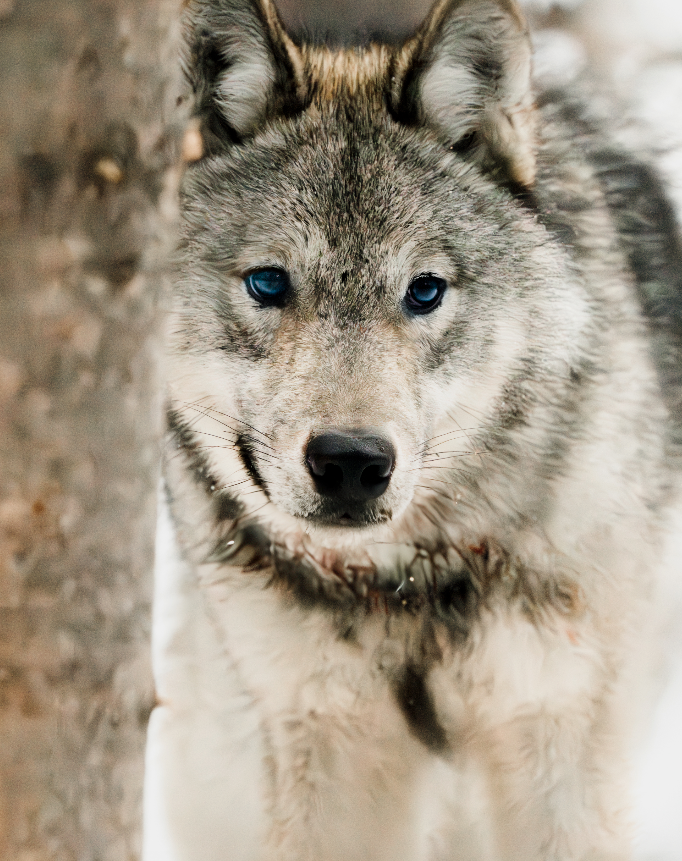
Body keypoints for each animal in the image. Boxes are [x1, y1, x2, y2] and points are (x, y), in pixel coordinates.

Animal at [145, 0, 682, 859]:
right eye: (268, 283)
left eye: (425, 291)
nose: (351, 461)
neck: (412, 583)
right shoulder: (328, 741)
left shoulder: (557, 731)